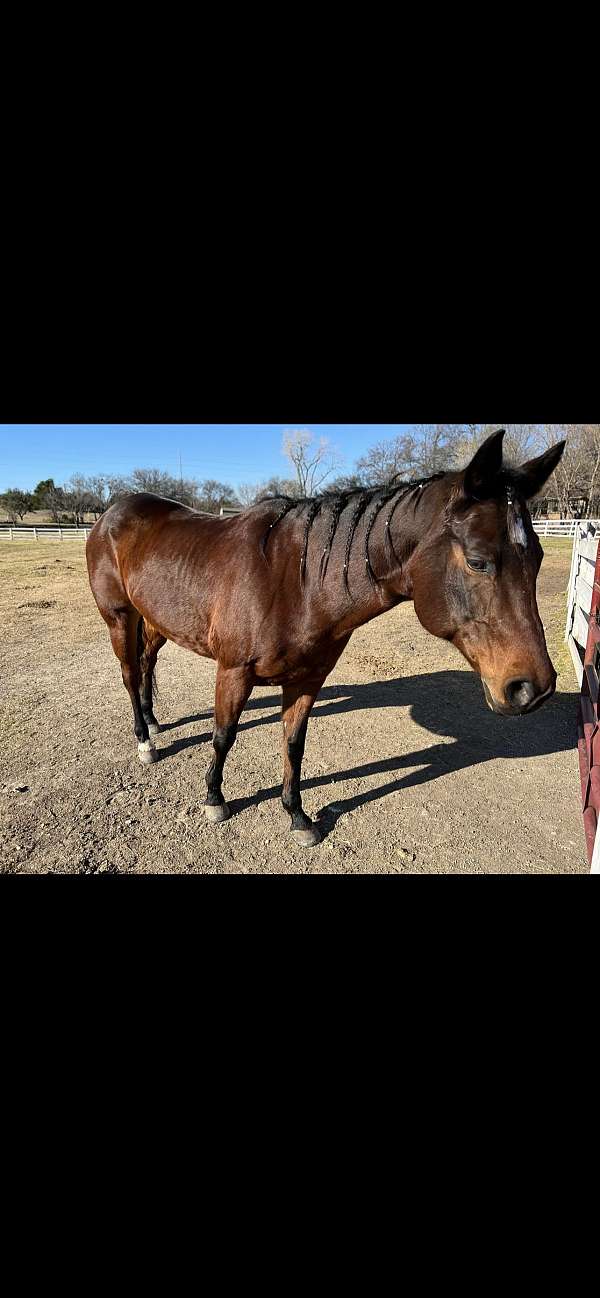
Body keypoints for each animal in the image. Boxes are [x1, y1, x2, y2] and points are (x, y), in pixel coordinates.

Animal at [85, 430, 566, 846]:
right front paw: (215, 799)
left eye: (538, 557)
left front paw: (298, 816)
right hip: (120, 617)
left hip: (156, 620)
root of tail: (112, 513)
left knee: (146, 664)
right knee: (130, 674)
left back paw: (153, 722)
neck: (296, 581)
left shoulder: (307, 679)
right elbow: (224, 735)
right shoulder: (233, 671)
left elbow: (294, 745)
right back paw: (145, 741)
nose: (532, 688)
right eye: (478, 561)